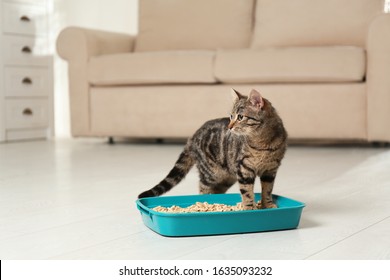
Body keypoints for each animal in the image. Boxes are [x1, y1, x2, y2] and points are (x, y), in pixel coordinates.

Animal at [139, 88, 288, 209]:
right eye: (231, 116)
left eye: (240, 117)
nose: (229, 126)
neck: (262, 143)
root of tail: (193, 136)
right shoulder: (244, 170)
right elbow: (247, 192)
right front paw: (249, 208)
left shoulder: (270, 170)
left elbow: (267, 190)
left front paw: (268, 205)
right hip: (210, 174)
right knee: (203, 189)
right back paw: (205, 204)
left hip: (226, 178)